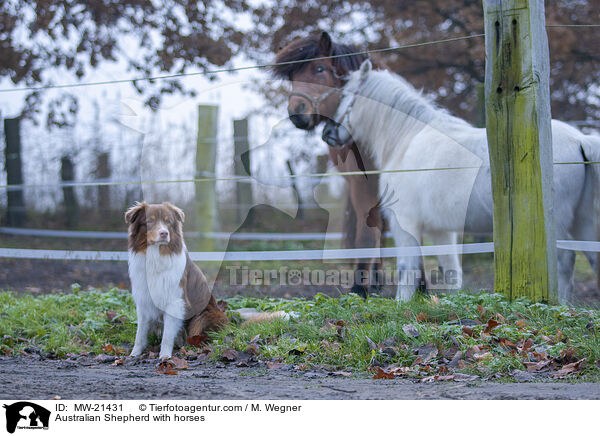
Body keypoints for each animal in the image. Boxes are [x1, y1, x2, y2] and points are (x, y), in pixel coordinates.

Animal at [125, 201, 229, 358]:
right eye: (149, 221)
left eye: (168, 221)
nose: (164, 233)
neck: (156, 256)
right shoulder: (143, 300)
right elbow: (140, 333)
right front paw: (134, 354)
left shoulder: (174, 301)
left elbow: (167, 335)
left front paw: (165, 356)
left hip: (204, 315)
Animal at [274, 30, 390, 296]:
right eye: (292, 77)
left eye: (319, 69)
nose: (297, 112)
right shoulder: (361, 184)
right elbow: (368, 229)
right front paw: (360, 286)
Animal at [328, 58, 600, 304]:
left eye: (347, 95)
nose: (327, 132)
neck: (406, 139)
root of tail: (580, 140)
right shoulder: (441, 231)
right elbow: (451, 272)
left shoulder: (404, 223)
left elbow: (408, 269)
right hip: (583, 221)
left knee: (565, 262)